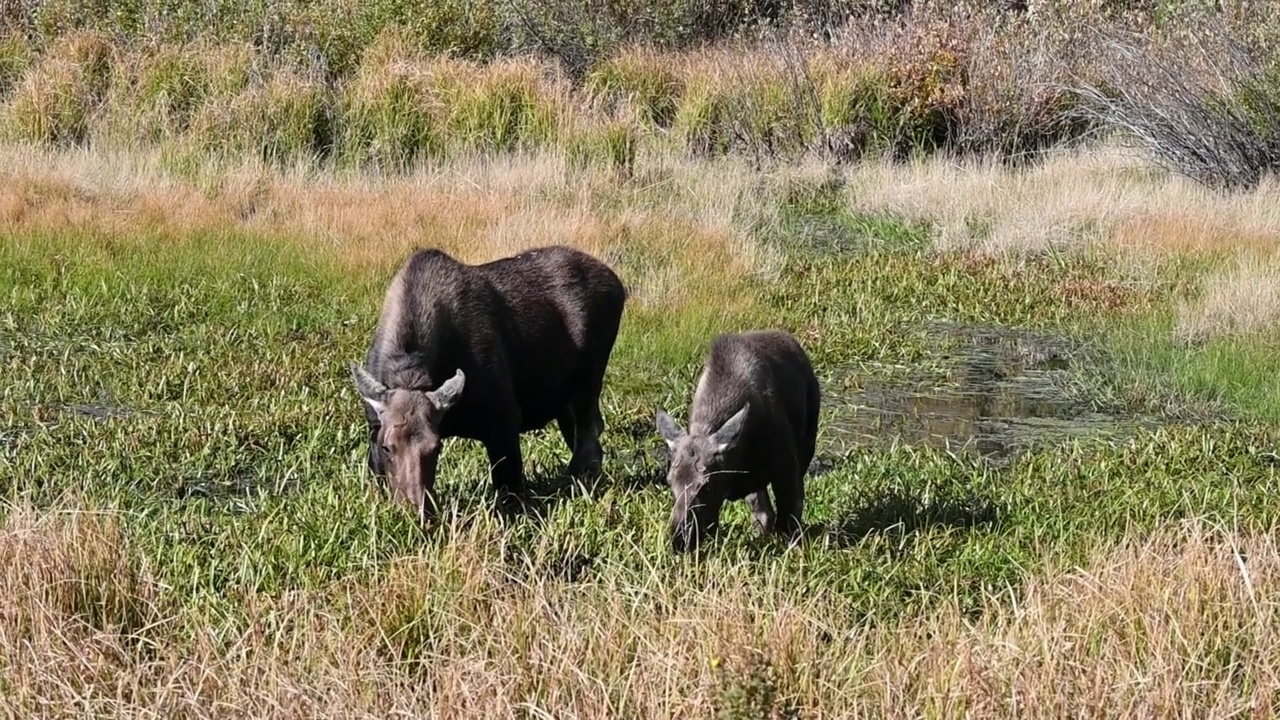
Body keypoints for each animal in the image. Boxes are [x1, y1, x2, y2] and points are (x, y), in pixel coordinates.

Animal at [350, 243, 629, 517]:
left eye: (435, 447)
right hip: (565, 402)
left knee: (589, 437)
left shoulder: (504, 422)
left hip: (588, 383)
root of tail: (619, 287)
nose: (416, 510)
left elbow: (510, 494)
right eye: (387, 447)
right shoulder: (373, 426)